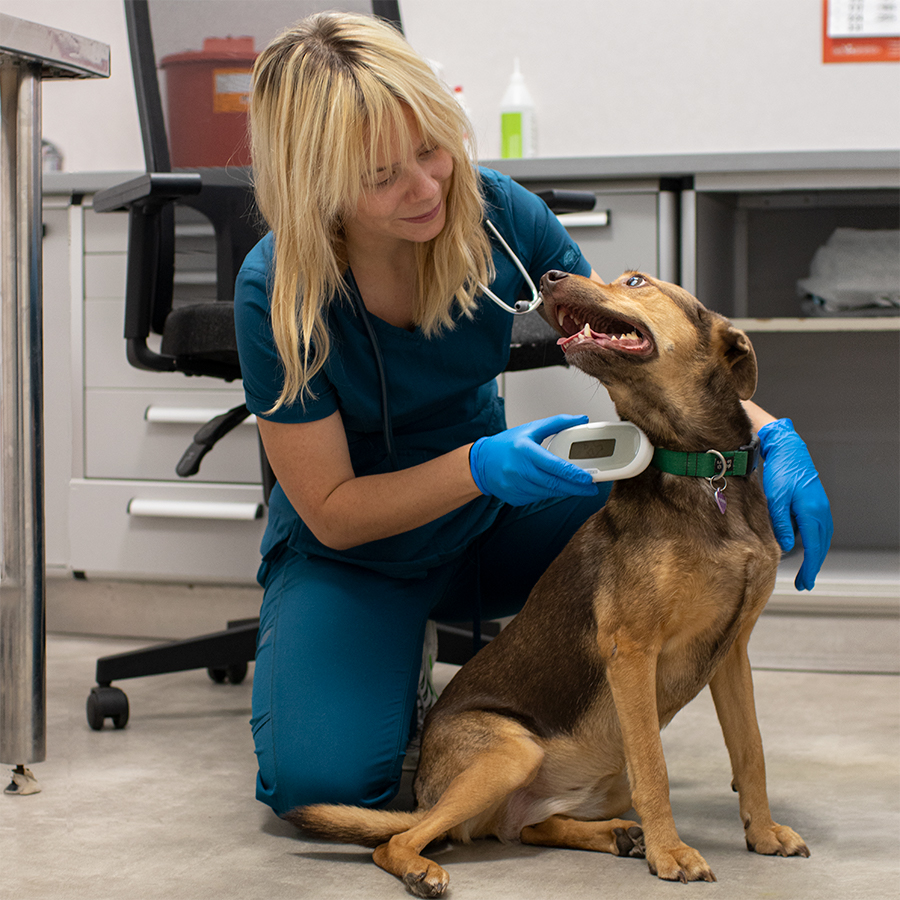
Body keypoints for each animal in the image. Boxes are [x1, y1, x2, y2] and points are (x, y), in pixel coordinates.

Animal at [294, 272, 808, 892]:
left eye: (636, 281)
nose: (550, 277)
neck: (704, 471)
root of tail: (424, 791)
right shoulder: (631, 651)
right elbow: (656, 769)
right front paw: (671, 852)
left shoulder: (732, 652)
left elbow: (750, 751)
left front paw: (763, 833)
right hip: (511, 753)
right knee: (398, 841)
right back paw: (424, 869)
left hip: (598, 778)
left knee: (528, 828)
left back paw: (618, 834)